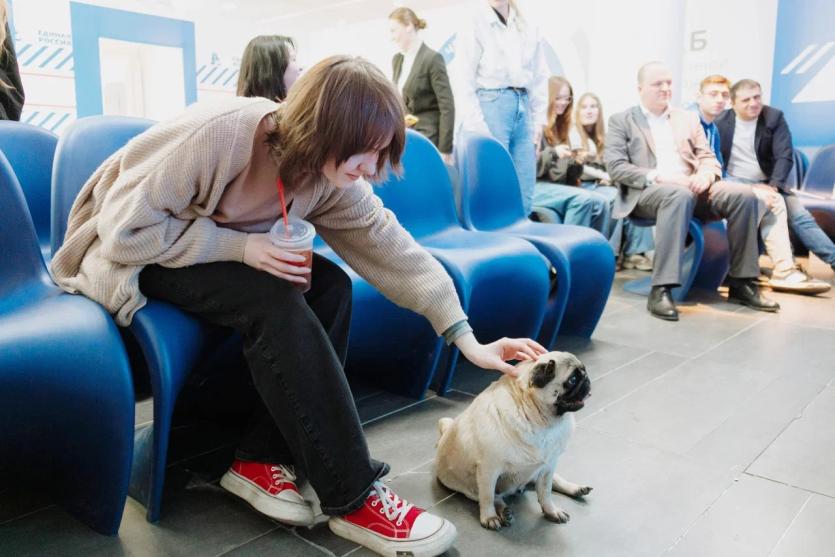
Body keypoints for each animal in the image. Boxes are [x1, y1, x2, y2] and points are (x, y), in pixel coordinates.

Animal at [434, 350, 592, 528]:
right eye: (572, 380)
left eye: (584, 371)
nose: (587, 379)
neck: (541, 420)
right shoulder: (489, 470)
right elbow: (487, 496)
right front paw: (489, 517)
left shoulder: (548, 466)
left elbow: (546, 492)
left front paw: (551, 511)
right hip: (473, 489)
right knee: (495, 497)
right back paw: (504, 512)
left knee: (554, 481)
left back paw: (576, 488)